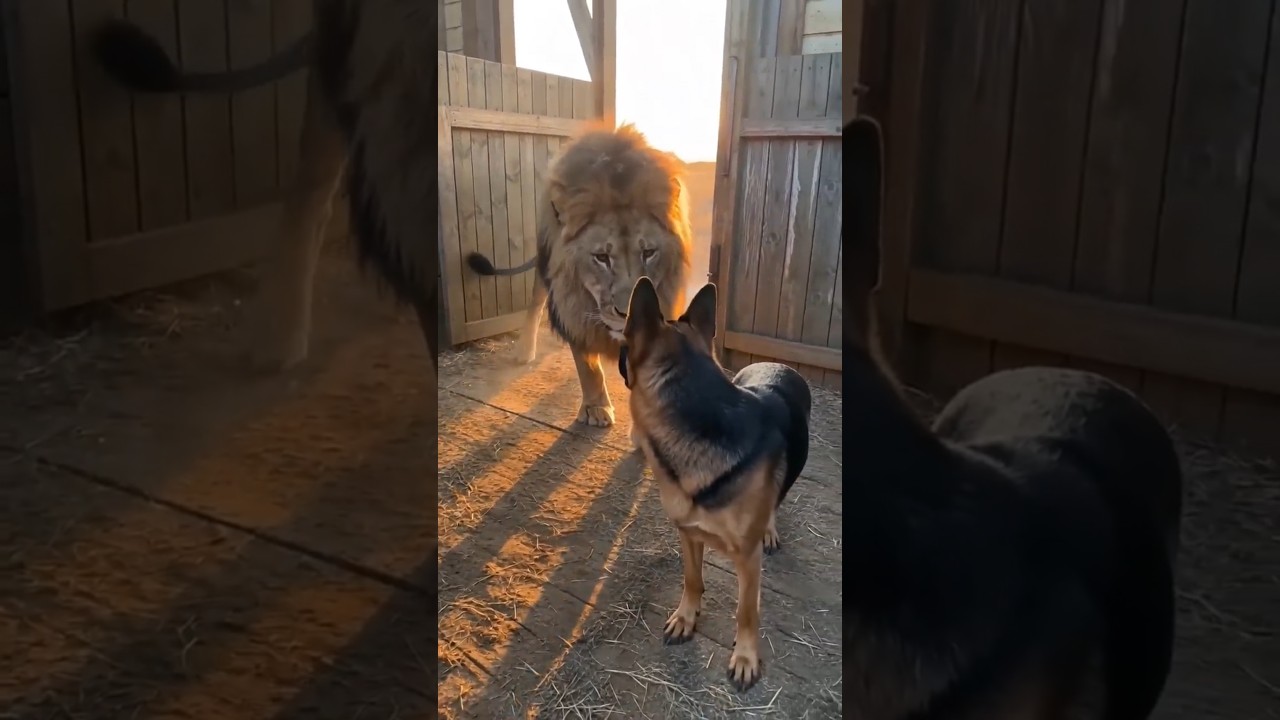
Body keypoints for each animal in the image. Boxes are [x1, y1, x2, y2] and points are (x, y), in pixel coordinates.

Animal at [466, 125, 693, 428]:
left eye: (648, 253)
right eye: (601, 257)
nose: (627, 313)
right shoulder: (570, 307)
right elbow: (587, 366)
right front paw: (596, 408)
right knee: (535, 303)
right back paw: (525, 351)